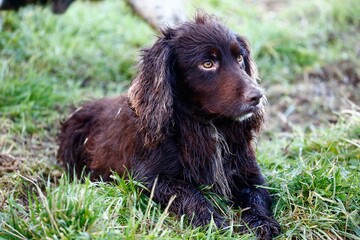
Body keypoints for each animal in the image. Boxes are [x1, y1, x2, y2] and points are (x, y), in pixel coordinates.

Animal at [57, 13, 282, 240]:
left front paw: (262, 223)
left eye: (239, 58)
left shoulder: (247, 169)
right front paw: (212, 222)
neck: (207, 125)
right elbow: (189, 193)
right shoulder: (148, 177)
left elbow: (257, 194)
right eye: (207, 64)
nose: (257, 96)